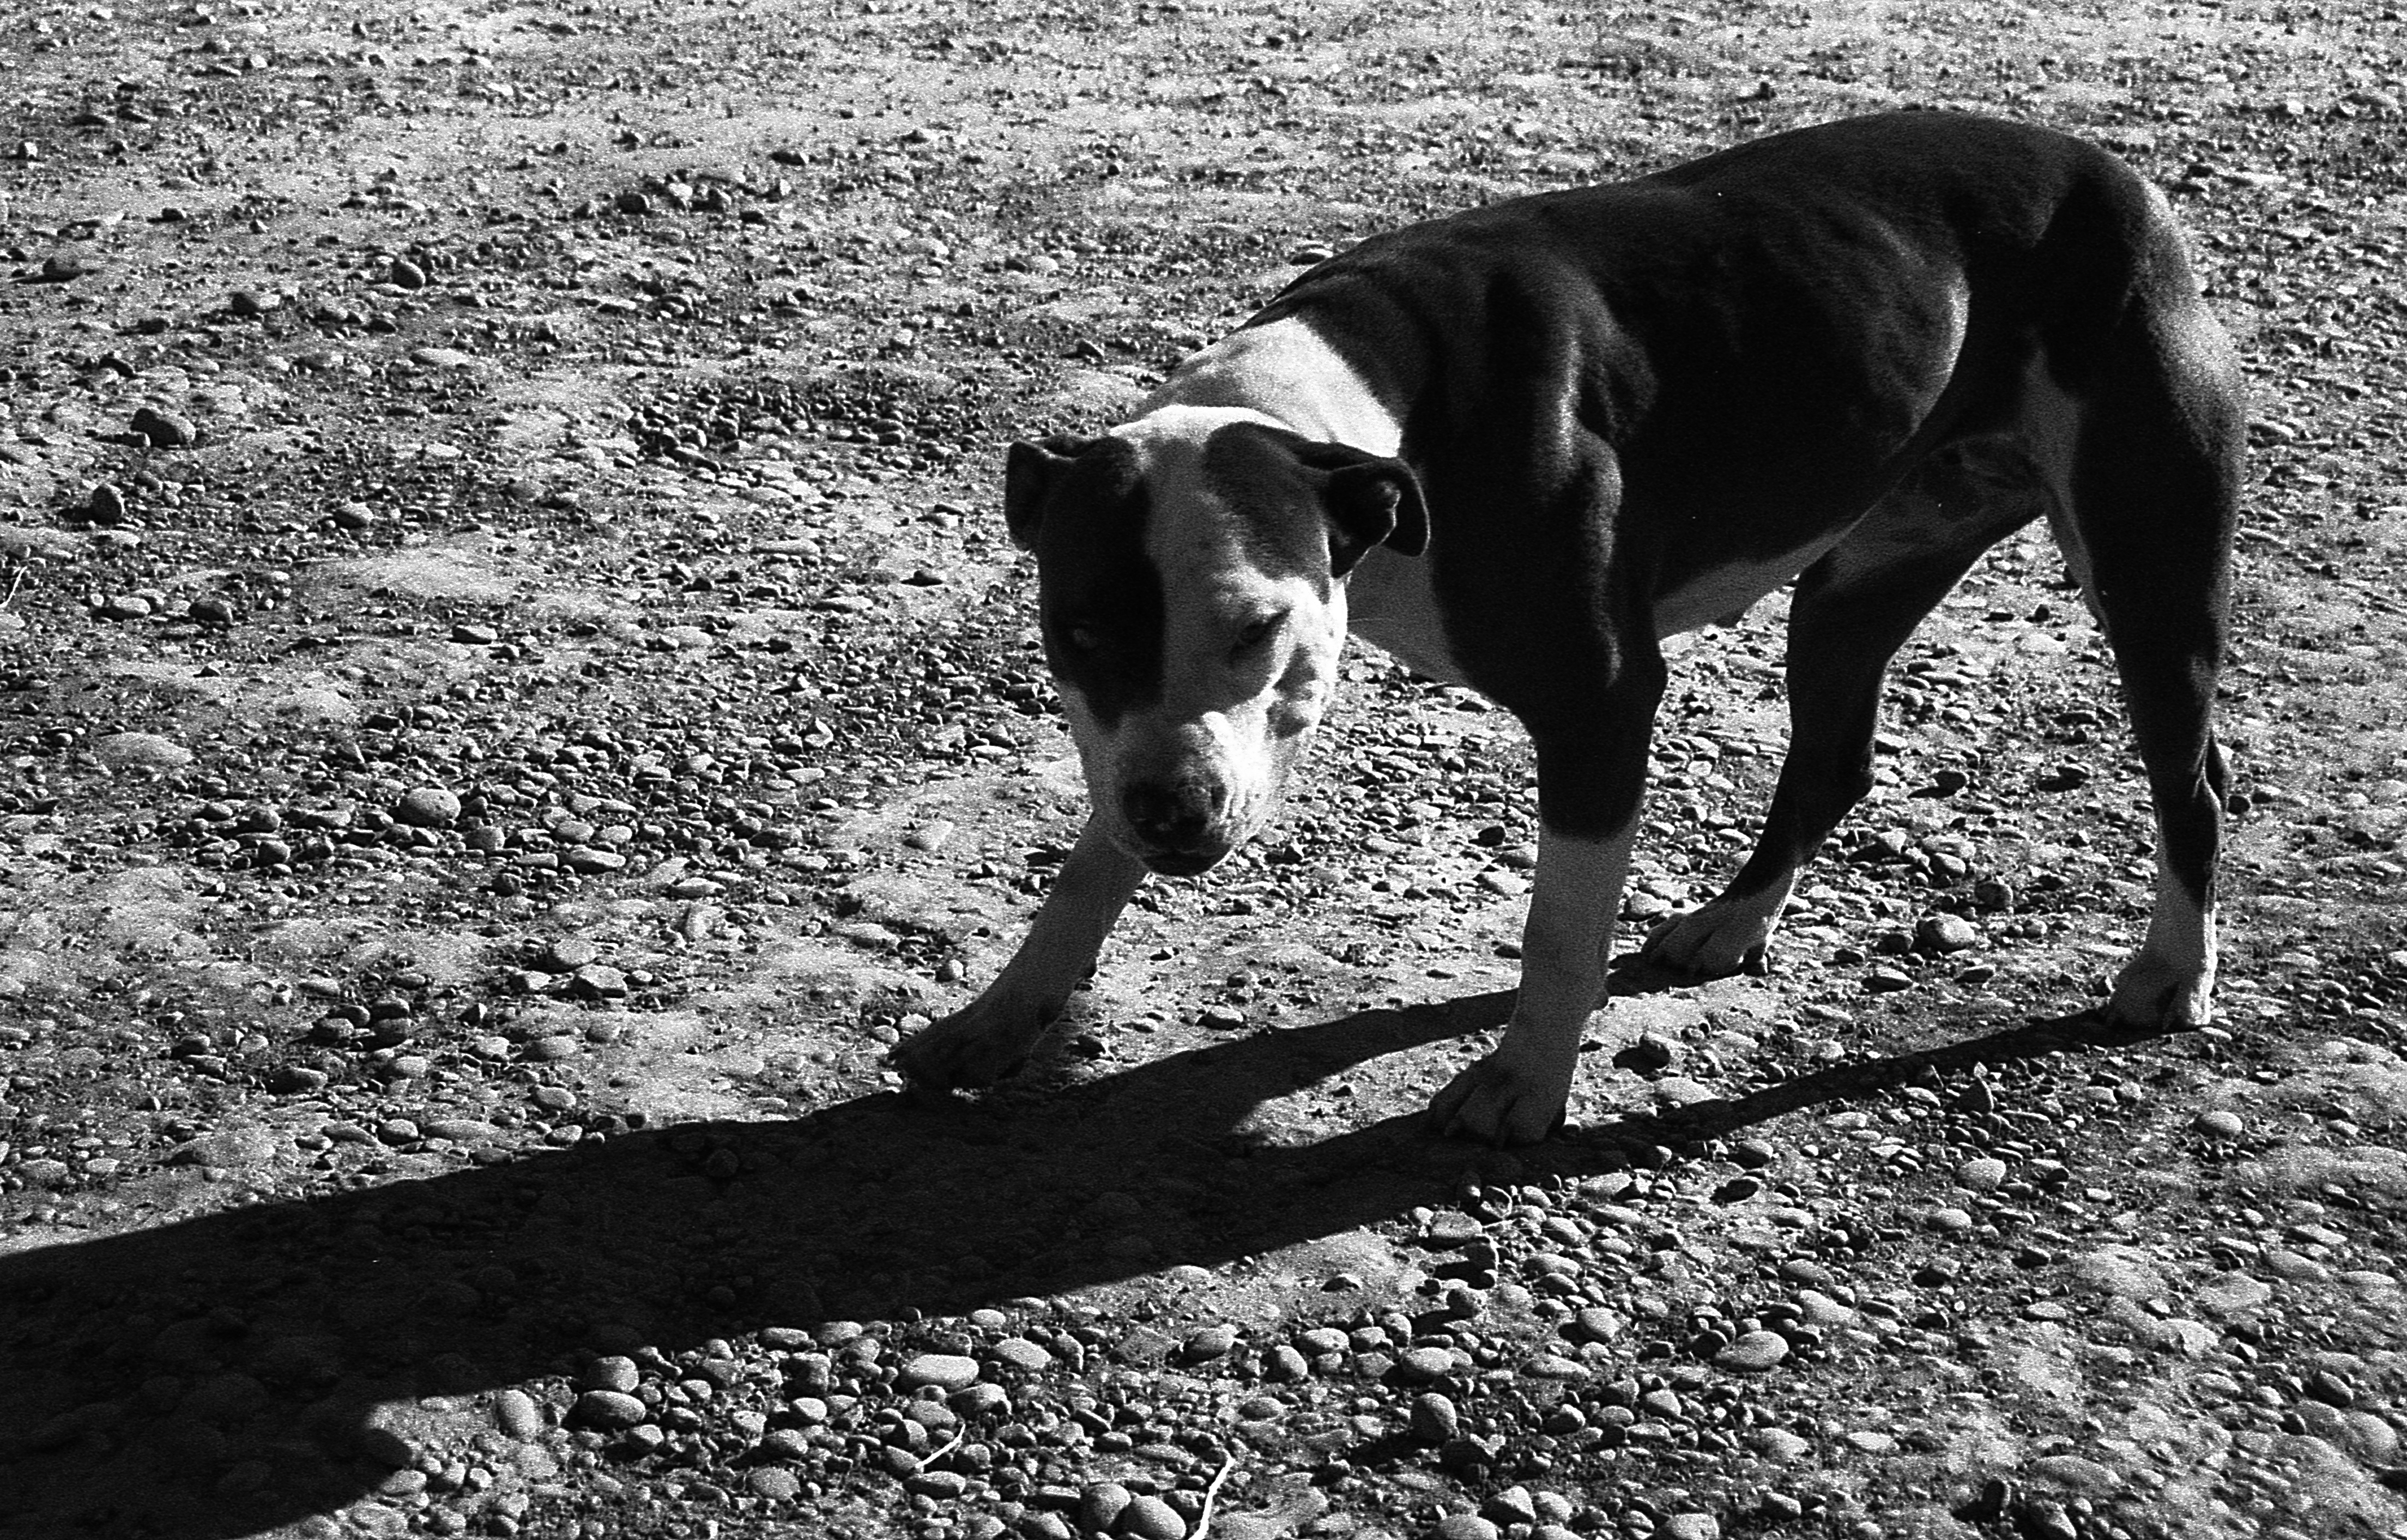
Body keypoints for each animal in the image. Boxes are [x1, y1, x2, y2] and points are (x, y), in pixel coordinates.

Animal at [895, 111, 2243, 1145]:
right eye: (1077, 633)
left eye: (1258, 627)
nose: (1173, 816)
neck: (1366, 413)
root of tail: (2115, 170)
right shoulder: (1141, 743)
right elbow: (1085, 871)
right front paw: (1001, 1019)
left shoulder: (1598, 704)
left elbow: (1556, 928)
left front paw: (1524, 1085)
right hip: (1861, 575)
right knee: (1832, 756)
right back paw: (1732, 922)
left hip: (2146, 565)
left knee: (2192, 772)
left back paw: (2172, 972)